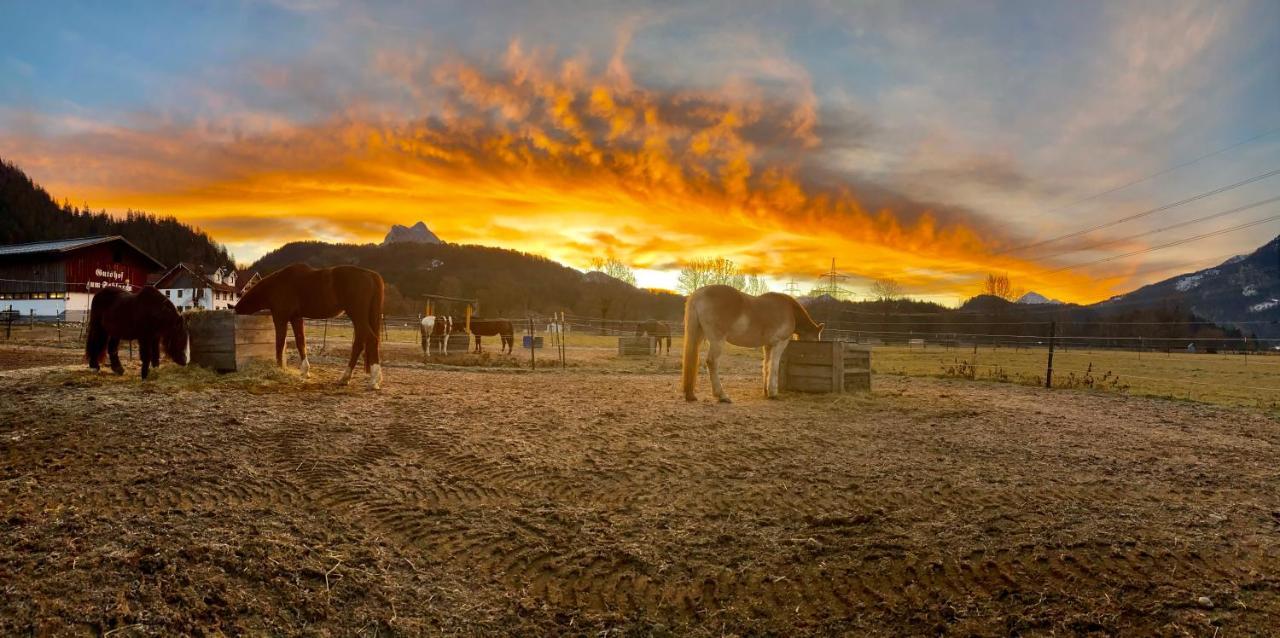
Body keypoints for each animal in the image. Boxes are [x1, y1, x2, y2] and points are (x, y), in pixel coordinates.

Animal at [234, 262, 384, 389]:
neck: (277, 285)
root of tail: (371, 274)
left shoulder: (280, 317)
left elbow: (280, 343)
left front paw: (279, 369)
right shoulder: (296, 318)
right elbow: (301, 342)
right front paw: (305, 371)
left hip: (357, 315)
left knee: (370, 339)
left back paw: (373, 380)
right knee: (360, 343)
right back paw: (346, 378)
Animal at [680, 285, 819, 402]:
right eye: (815, 341)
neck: (790, 310)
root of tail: (699, 294)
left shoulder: (767, 345)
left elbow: (766, 365)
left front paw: (766, 391)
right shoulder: (779, 343)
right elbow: (774, 366)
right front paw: (773, 393)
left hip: (699, 335)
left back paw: (690, 395)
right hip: (717, 340)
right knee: (712, 362)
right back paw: (722, 395)